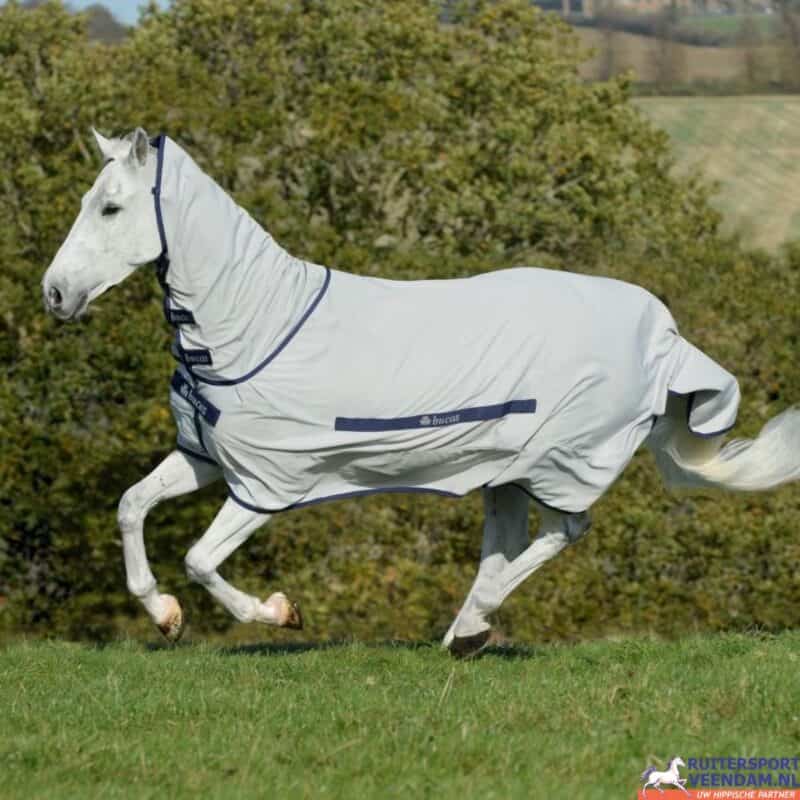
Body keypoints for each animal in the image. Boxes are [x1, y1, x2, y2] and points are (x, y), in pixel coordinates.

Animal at [41, 128, 800, 657]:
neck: (252, 324)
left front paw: (279, 612)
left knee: (567, 530)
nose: (53, 294)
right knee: (509, 542)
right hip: (506, 470)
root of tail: (663, 333)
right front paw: (165, 616)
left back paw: (472, 626)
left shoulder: (269, 480)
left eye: (110, 208)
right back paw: (466, 631)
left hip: (561, 458)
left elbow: (200, 559)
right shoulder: (205, 456)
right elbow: (131, 507)